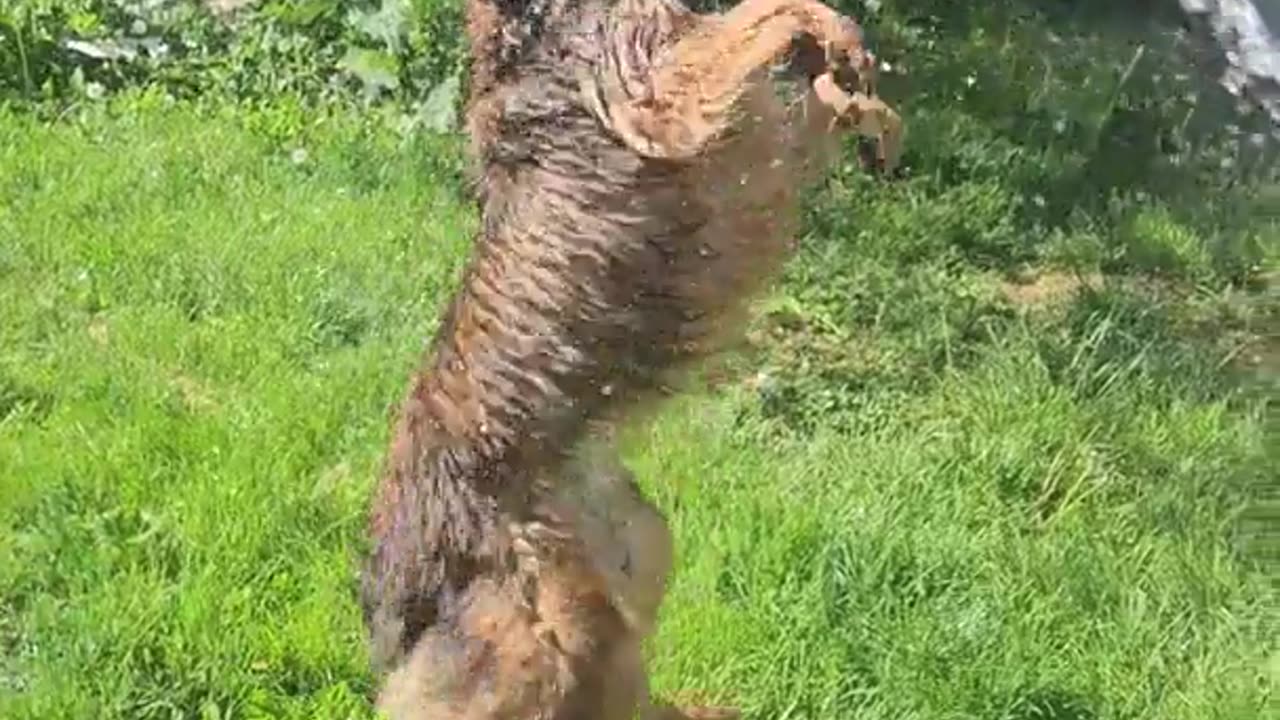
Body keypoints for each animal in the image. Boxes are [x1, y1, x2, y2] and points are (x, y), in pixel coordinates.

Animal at [355, 0, 906, 712]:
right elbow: (764, 17)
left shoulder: (756, 139)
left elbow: (815, 99)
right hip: (540, 643)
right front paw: (833, 40)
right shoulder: (664, 95)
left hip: (628, 581)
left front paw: (865, 104)